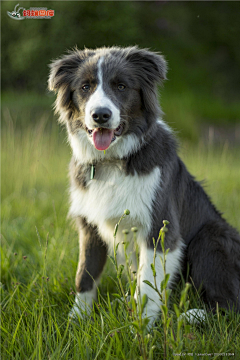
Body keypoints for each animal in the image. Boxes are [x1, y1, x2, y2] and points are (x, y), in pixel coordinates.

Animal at [48, 45, 240, 326]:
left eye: (121, 86)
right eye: (85, 87)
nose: (100, 115)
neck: (113, 161)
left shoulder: (160, 228)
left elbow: (148, 287)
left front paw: (141, 327)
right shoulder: (90, 226)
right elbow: (85, 273)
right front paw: (77, 319)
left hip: (213, 235)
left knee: (230, 305)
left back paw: (192, 315)